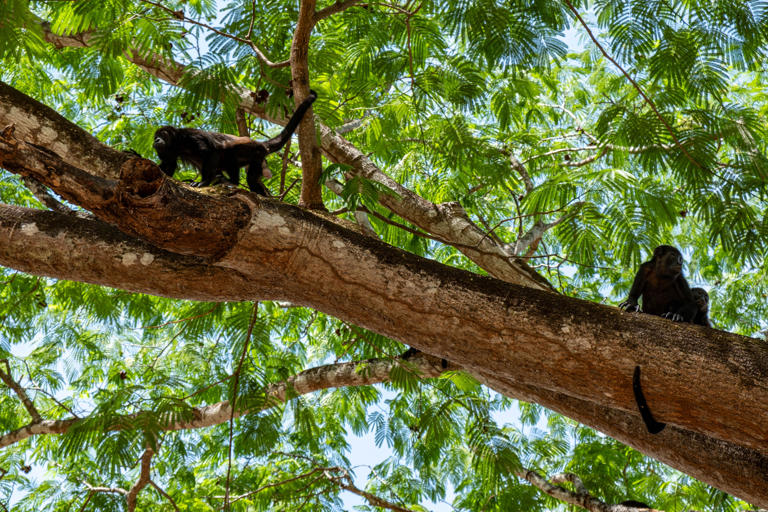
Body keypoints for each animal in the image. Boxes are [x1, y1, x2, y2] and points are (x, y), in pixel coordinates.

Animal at [153, 90, 316, 194]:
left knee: (230, 154)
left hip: (254, 152)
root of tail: (259, 144)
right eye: (155, 136)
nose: (156, 140)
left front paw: (204, 182)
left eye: (162, 134)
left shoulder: (192, 137)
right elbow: (169, 165)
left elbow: (211, 151)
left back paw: (231, 182)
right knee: (250, 179)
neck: (178, 142)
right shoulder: (170, 151)